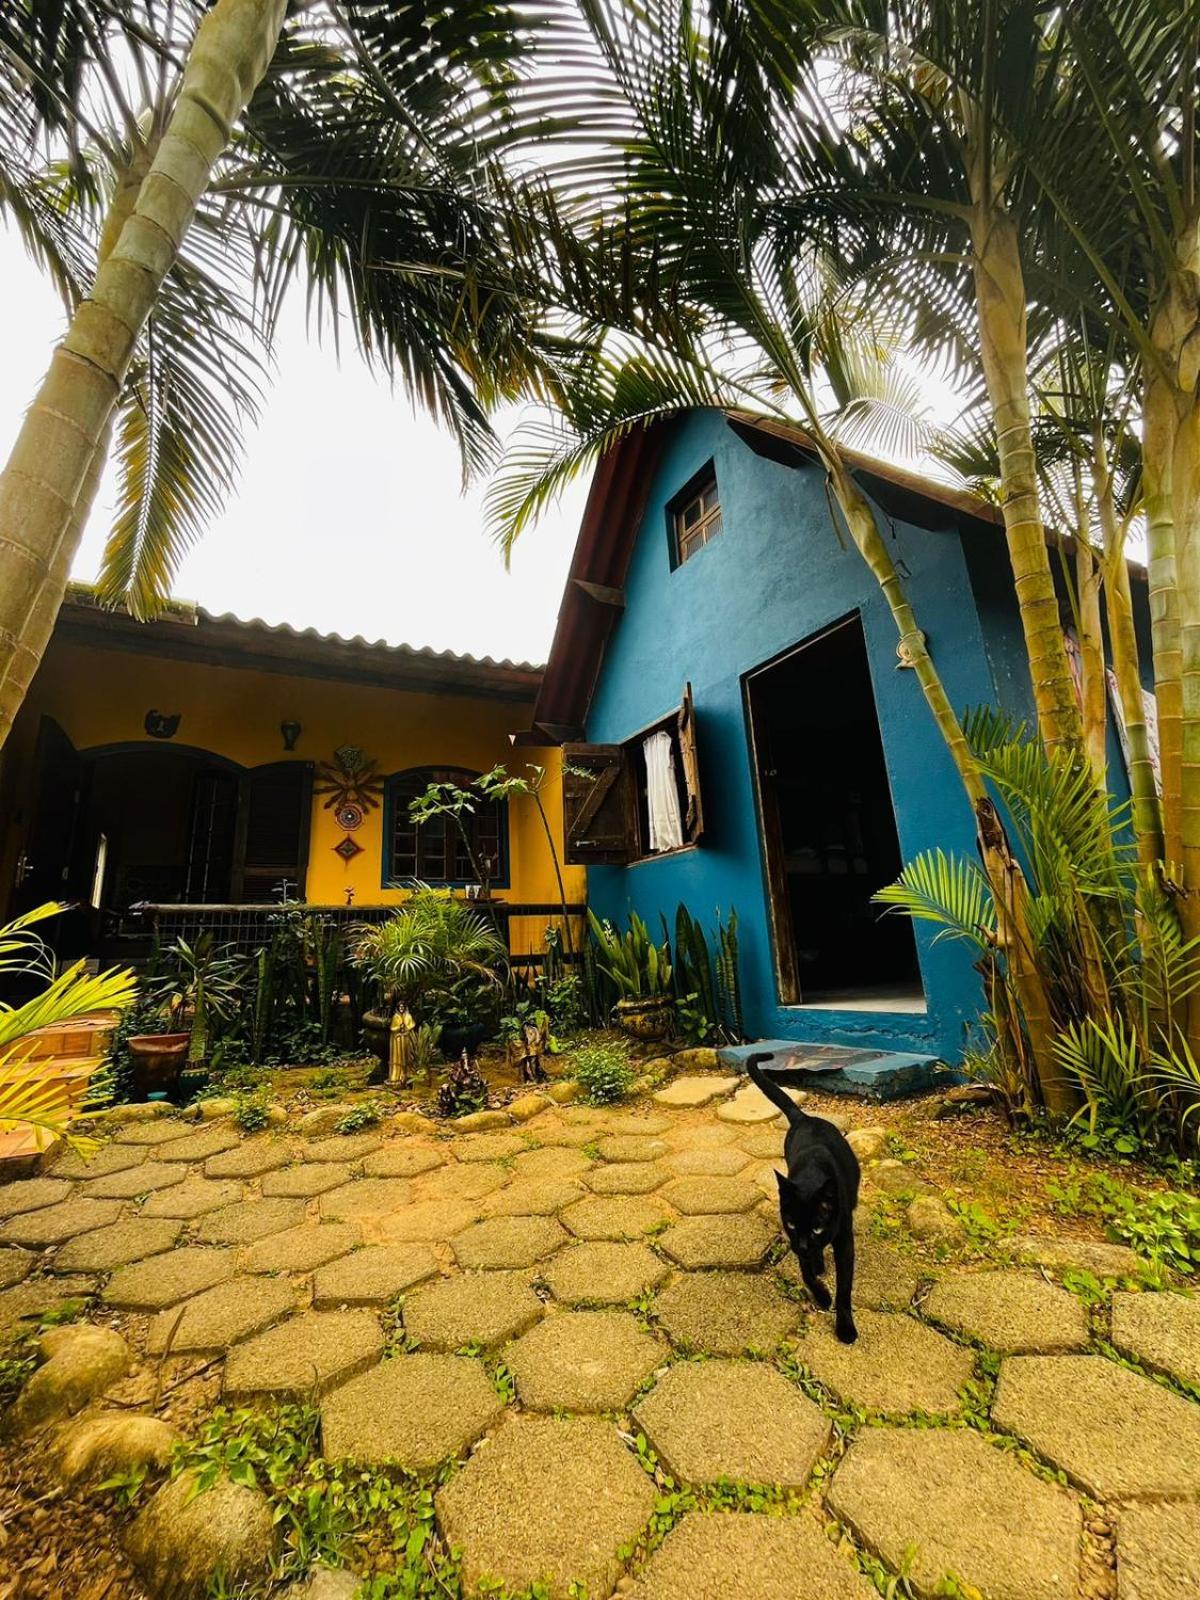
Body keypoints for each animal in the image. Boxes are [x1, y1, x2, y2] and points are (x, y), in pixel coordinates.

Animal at [748, 1049, 857, 1337]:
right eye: (793, 1224)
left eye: (817, 1228)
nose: (806, 1245)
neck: (812, 1175)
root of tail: (804, 1118)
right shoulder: (794, 1239)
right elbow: (806, 1272)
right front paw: (821, 1295)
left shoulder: (844, 1241)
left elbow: (844, 1287)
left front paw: (845, 1327)